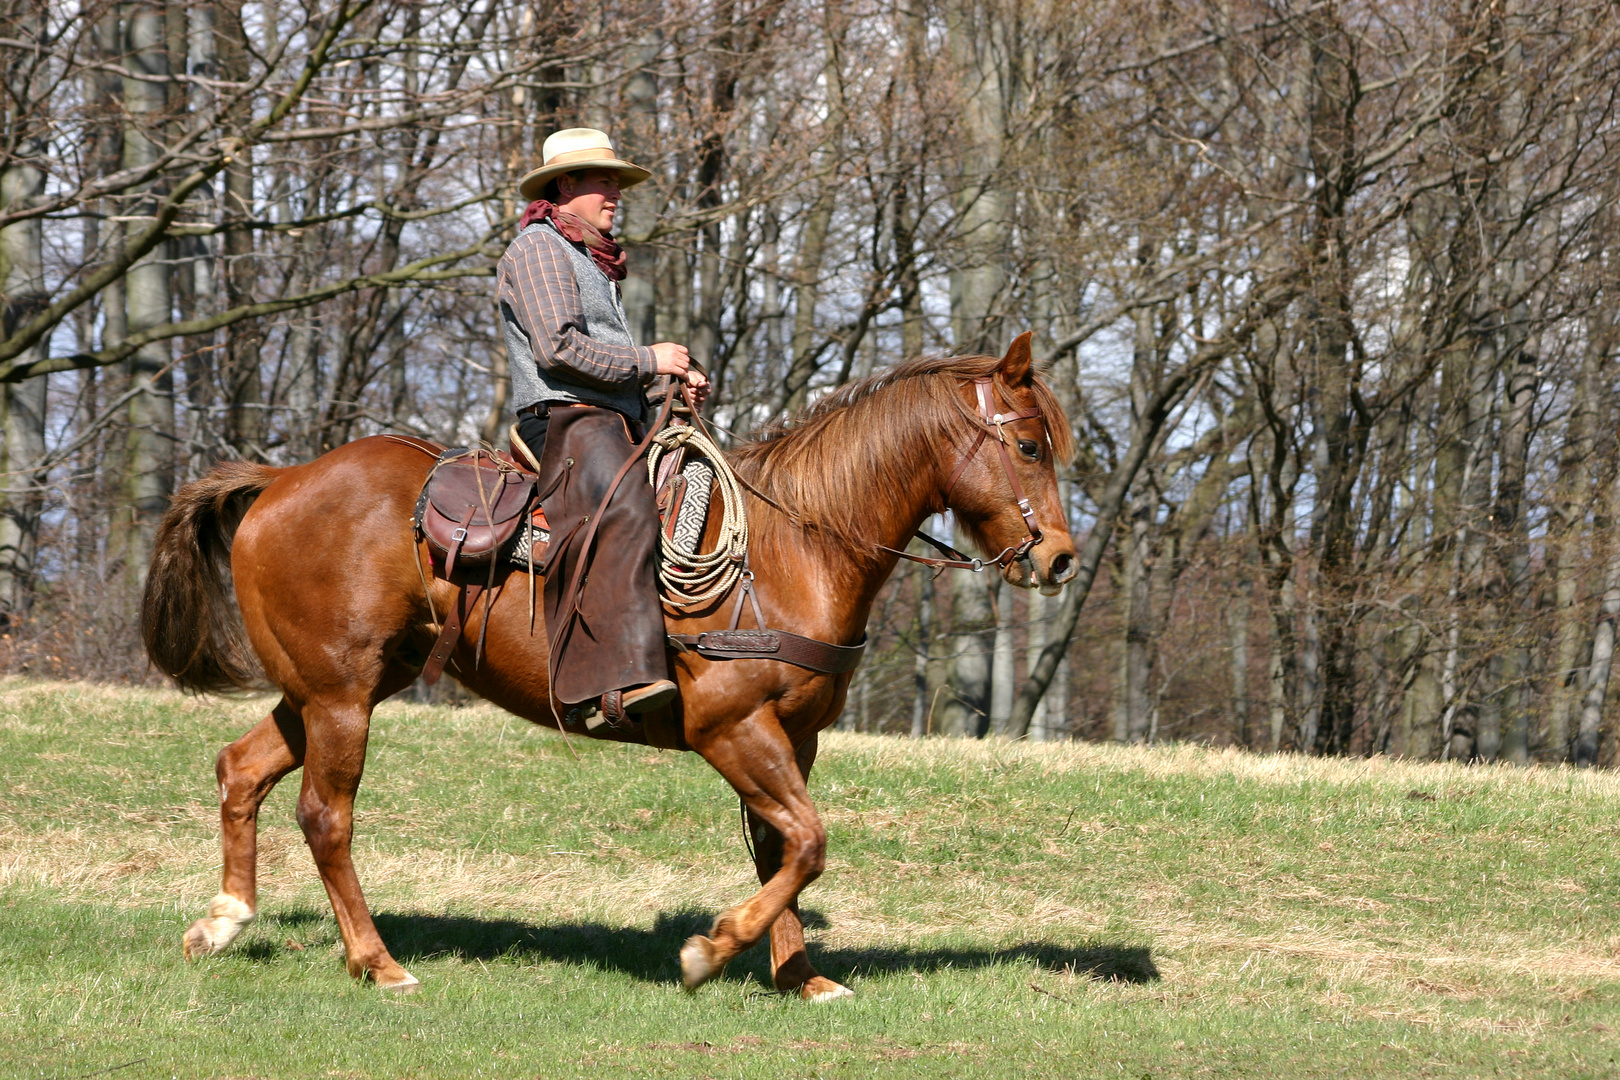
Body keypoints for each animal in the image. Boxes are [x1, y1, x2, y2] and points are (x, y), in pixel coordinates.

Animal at [142, 333, 1075, 1003]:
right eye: (1030, 446)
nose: (1060, 559)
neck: (792, 547)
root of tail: (281, 478)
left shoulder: (794, 737)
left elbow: (781, 849)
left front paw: (801, 977)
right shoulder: (731, 728)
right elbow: (809, 842)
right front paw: (709, 951)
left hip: (328, 690)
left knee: (240, 770)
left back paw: (223, 922)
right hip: (341, 697)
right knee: (325, 817)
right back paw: (379, 963)